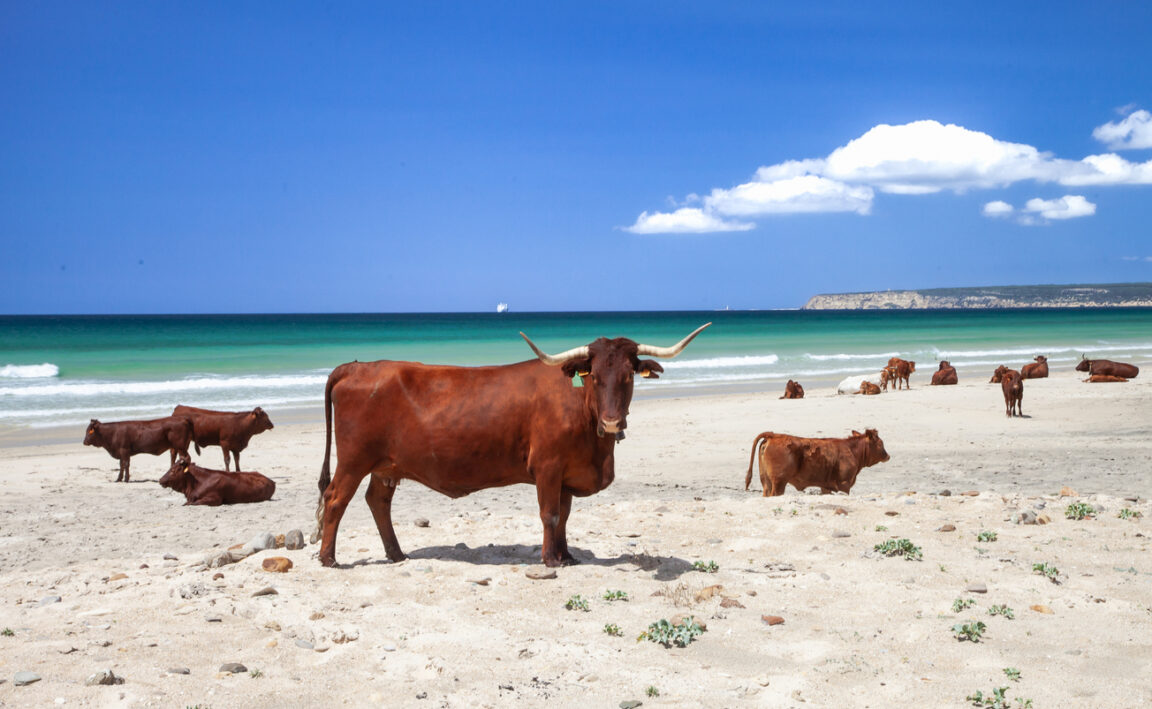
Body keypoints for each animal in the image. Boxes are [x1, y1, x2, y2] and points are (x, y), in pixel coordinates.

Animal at [312, 324, 711, 568]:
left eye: (628, 377)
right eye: (595, 377)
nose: (612, 421)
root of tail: (357, 366)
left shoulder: (566, 474)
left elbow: (564, 516)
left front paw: (566, 556)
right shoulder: (548, 467)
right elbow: (550, 514)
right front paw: (550, 560)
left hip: (386, 466)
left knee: (377, 502)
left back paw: (396, 554)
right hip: (354, 460)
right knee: (336, 500)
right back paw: (329, 558)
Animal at [744, 429, 890, 497]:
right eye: (880, 443)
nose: (888, 456)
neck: (851, 450)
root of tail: (773, 435)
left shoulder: (826, 487)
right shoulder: (844, 484)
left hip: (766, 481)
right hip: (779, 482)